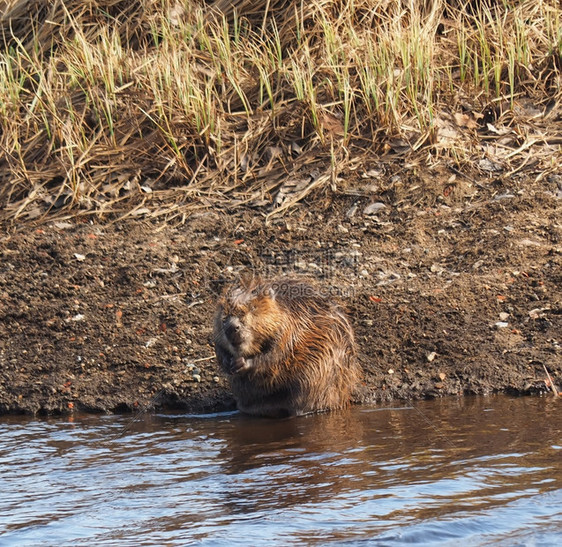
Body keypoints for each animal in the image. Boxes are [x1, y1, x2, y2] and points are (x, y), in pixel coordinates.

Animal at [210, 280, 358, 418]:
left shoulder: (288, 331)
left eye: (253, 307)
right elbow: (219, 347)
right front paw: (227, 362)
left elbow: (275, 356)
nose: (231, 327)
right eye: (223, 311)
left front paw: (241, 363)